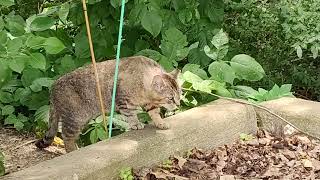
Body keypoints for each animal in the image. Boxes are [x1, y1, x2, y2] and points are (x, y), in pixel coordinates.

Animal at [35, 56, 181, 152]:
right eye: (170, 98)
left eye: (180, 94)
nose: (179, 104)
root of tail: (52, 88)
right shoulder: (123, 101)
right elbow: (131, 114)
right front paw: (136, 124)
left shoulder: (148, 103)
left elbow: (154, 112)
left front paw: (160, 123)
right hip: (75, 119)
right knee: (67, 137)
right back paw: (73, 151)